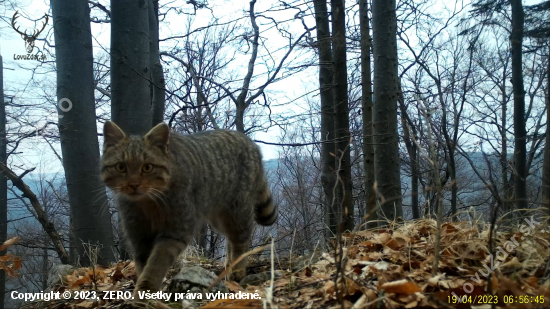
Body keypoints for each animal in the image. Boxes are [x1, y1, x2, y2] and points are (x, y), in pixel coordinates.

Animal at [99, 121, 278, 300]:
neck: (148, 204)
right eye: (121, 167)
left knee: (242, 240)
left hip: (237, 210)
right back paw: (229, 265)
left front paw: (145, 293)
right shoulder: (139, 237)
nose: (133, 184)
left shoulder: (176, 231)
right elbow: (144, 266)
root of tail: (247, 140)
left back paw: (237, 269)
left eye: (147, 167)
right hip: (219, 218)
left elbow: (155, 265)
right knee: (231, 239)